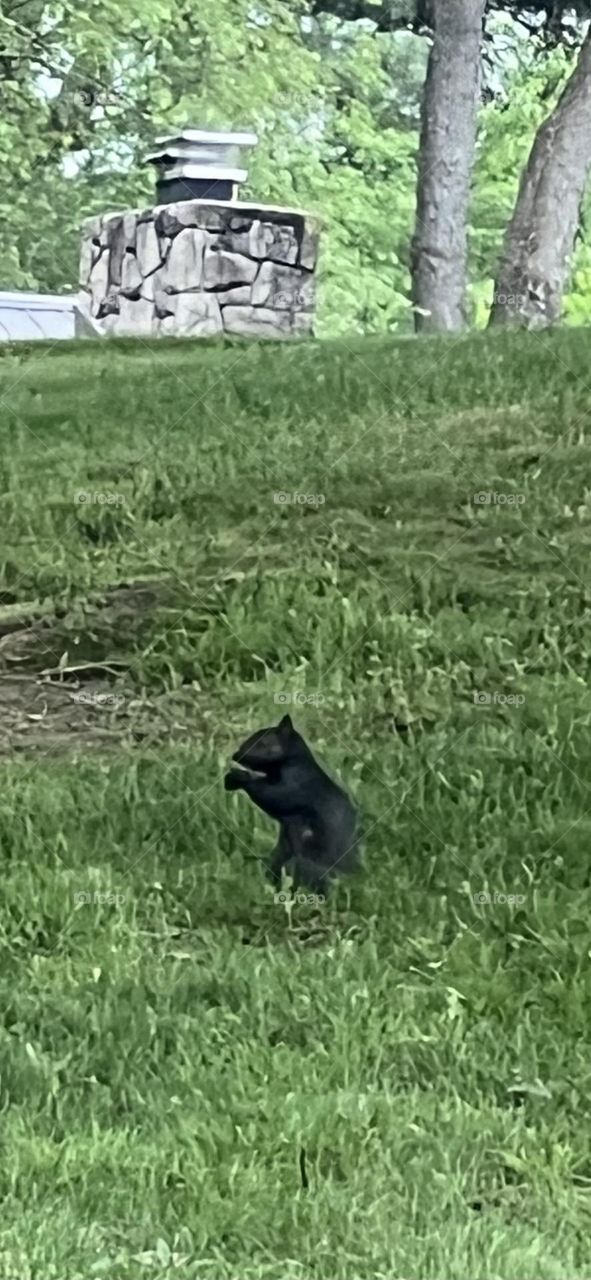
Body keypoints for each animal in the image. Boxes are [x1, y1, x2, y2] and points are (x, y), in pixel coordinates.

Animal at [224, 713, 359, 894]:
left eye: (263, 743)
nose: (236, 755)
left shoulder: (296, 787)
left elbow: (273, 795)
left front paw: (238, 776)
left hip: (303, 865)